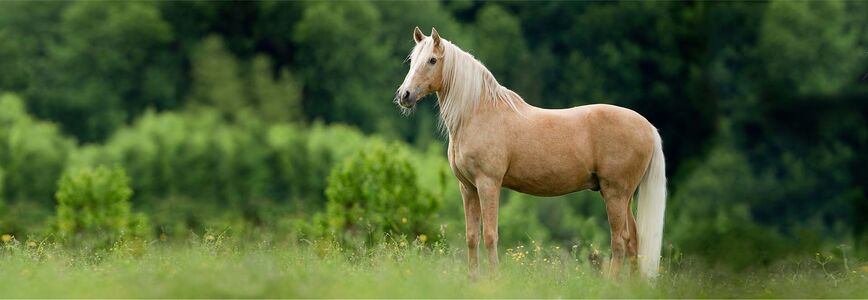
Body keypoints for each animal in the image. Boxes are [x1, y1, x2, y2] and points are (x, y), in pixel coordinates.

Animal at [396, 27, 668, 278]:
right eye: (412, 60)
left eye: (432, 60)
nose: (404, 95)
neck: (478, 113)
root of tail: (647, 127)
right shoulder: (468, 188)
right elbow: (472, 236)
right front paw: (473, 280)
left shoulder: (488, 184)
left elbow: (490, 235)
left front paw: (493, 281)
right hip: (624, 196)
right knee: (633, 240)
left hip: (615, 193)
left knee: (619, 240)